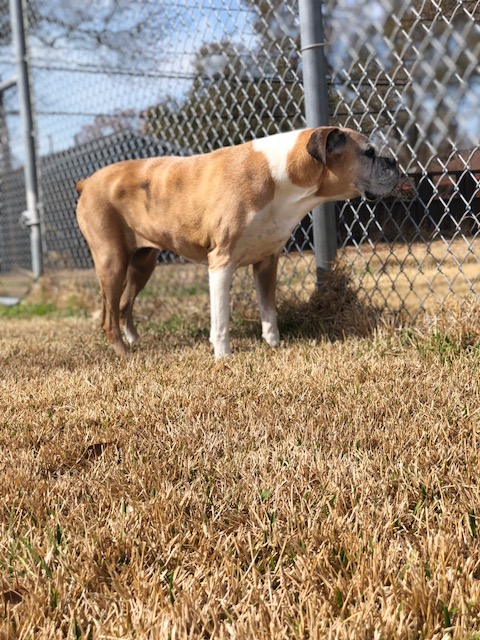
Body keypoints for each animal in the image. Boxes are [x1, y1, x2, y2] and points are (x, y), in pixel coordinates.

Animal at [74, 129, 398, 360]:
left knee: (123, 306)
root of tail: (87, 181)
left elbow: (269, 311)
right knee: (108, 317)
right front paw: (223, 356)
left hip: (142, 265)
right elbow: (221, 319)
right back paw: (124, 354)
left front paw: (273, 345)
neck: (280, 176)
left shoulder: (266, 263)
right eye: (369, 152)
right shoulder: (221, 263)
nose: (393, 161)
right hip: (112, 263)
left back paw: (135, 342)